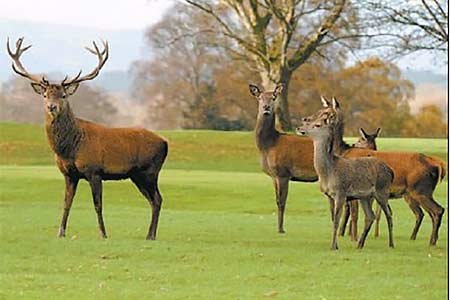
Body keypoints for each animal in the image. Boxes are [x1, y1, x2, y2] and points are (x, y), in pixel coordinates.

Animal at [6, 37, 169, 240]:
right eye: (45, 94)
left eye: (63, 95)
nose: (52, 107)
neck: (70, 149)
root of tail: (165, 143)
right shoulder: (69, 174)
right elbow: (66, 203)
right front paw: (61, 232)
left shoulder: (94, 170)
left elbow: (98, 205)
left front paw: (103, 233)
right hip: (137, 175)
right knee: (154, 200)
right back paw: (150, 235)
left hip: (149, 171)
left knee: (158, 199)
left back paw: (151, 235)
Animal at [248, 84, 318, 234]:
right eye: (260, 98)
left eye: (274, 97)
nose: (266, 107)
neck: (269, 146)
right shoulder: (274, 176)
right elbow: (276, 200)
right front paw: (279, 227)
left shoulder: (283, 173)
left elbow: (282, 201)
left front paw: (280, 229)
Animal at [298, 102, 396, 250]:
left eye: (317, 125)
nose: (299, 127)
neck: (328, 173)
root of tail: (390, 171)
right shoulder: (329, 195)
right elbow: (333, 219)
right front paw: (335, 244)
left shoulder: (341, 192)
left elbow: (337, 220)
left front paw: (333, 246)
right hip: (365, 197)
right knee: (370, 216)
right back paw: (360, 244)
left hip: (382, 191)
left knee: (389, 214)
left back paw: (391, 244)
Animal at [312, 96, 444, 246]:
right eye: (320, 110)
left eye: (326, 113)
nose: (310, 121)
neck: (342, 152)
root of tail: (437, 166)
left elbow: (355, 215)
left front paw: (354, 238)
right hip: (417, 193)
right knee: (427, 213)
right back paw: (424, 239)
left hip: (420, 190)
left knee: (437, 210)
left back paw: (431, 241)